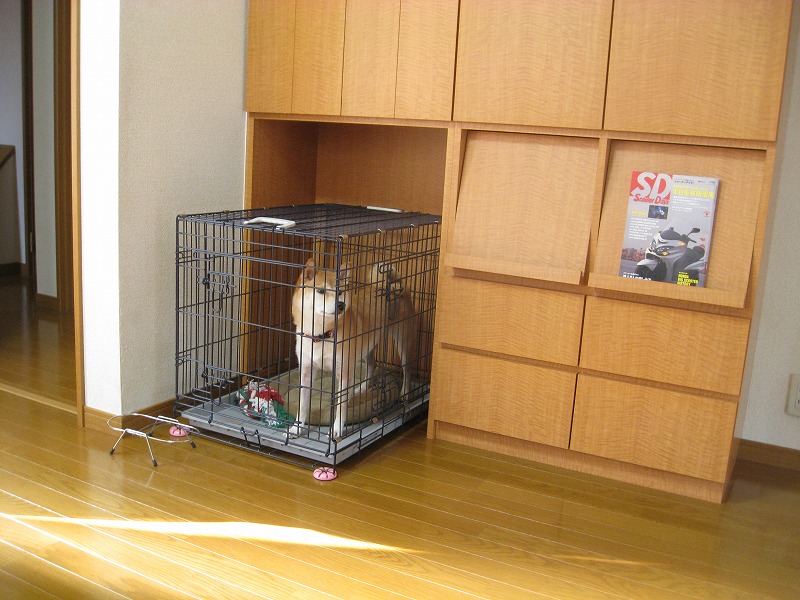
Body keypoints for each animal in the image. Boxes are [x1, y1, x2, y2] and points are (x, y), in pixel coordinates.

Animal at [291, 258, 418, 440]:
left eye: (340, 292)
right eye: (321, 291)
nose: (341, 305)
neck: (322, 334)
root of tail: (392, 285)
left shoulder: (343, 371)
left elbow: (340, 405)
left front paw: (337, 429)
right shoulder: (307, 370)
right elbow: (302, 404)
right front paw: (296, 428)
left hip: (402, 341)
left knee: (407, 369)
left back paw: (405, 394)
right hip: (366, 346)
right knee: (372, 365)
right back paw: (362, 388)